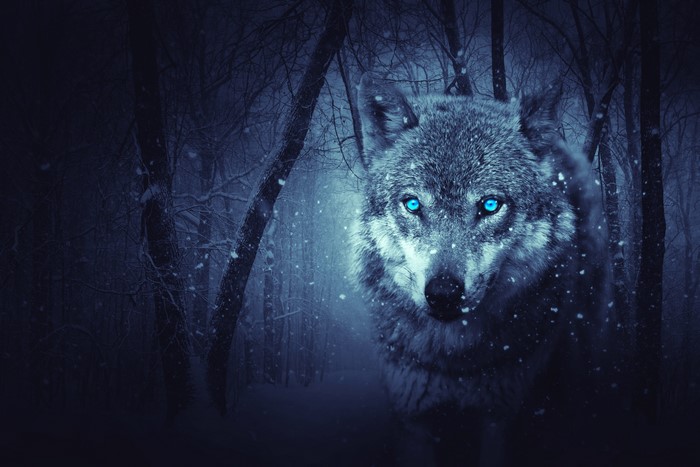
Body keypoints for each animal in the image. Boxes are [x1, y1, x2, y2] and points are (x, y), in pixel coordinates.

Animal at [352, 74, 609, 466]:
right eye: (412, 204)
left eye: (489, 205)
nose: (443, 293)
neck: (455, 362)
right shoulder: (413, 418)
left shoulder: (501, 418)